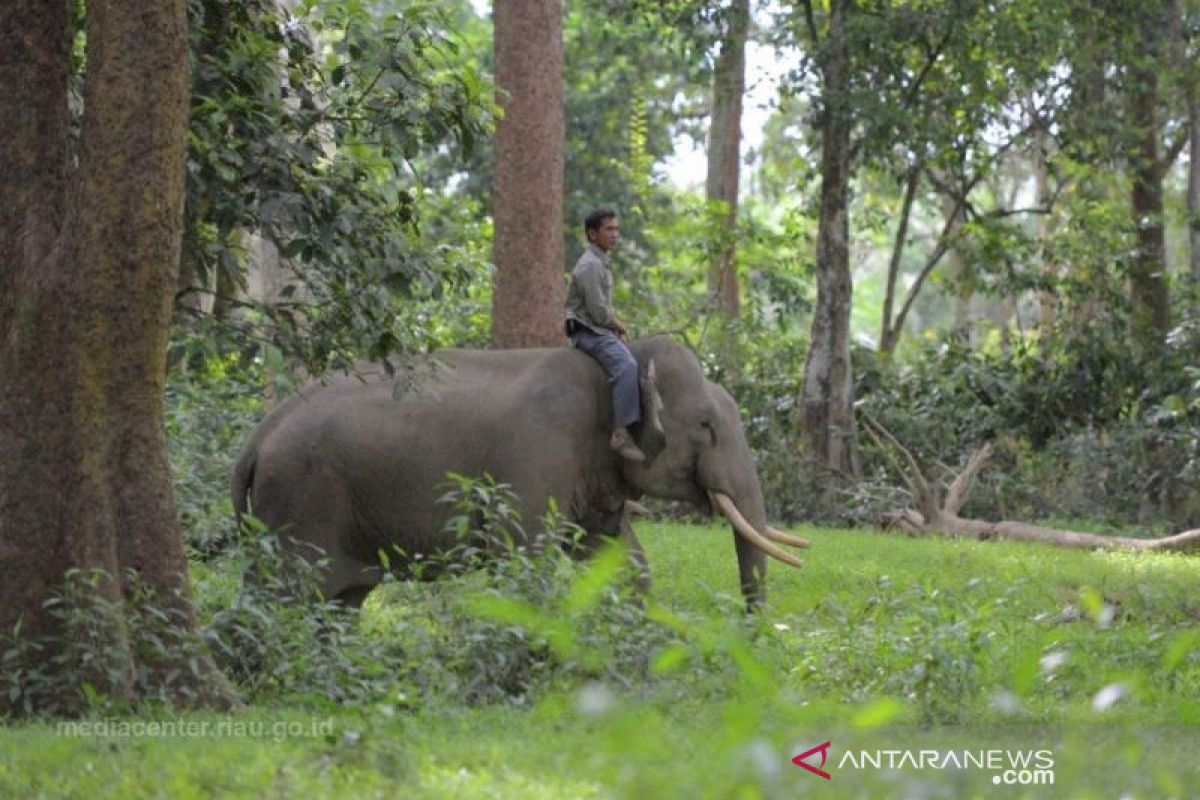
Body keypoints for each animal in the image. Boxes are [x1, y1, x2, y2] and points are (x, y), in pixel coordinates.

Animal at [226, 335, 806, 609]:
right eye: (706, 426)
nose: (752, 632)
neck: (617, 363)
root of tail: (255, 438)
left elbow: (622, 559)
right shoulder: (538, 458)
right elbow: (523, 556)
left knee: (340, 604)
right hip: (300, 501)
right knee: (282, 598)